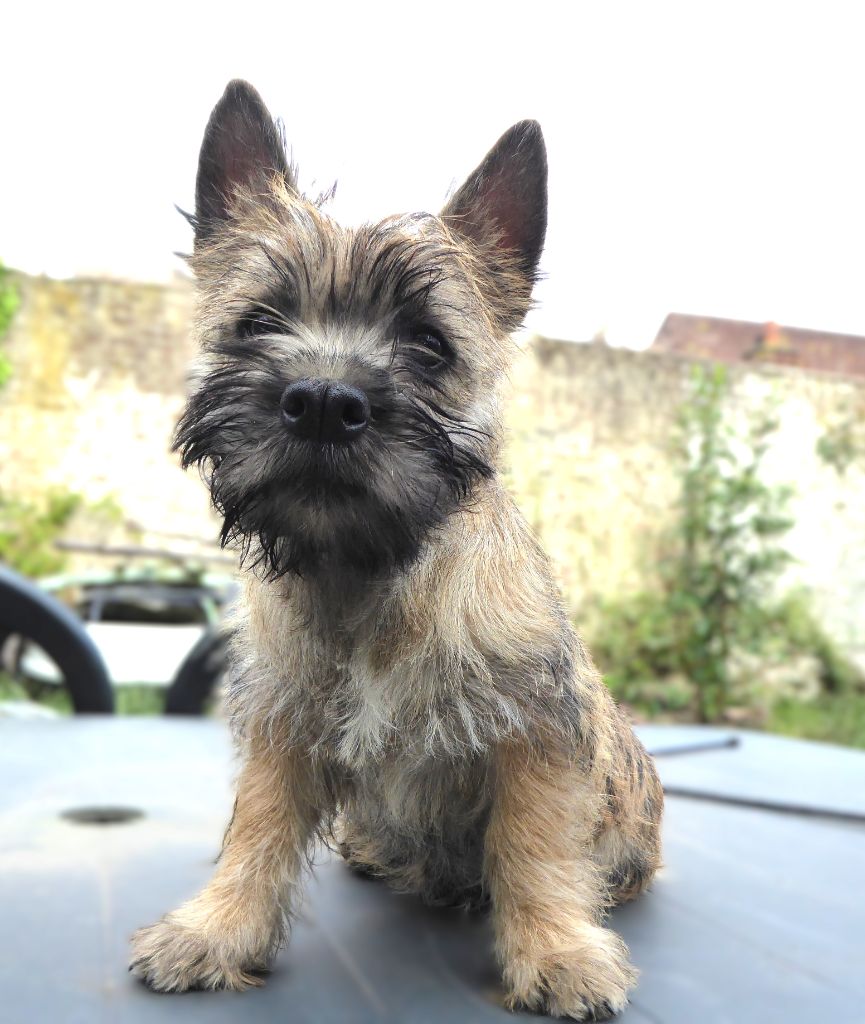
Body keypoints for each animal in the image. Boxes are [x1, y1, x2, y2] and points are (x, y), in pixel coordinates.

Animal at [130, 77, 663, 1015]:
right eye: (258, 322)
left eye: (427, 343)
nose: (321, 400)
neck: (366, 580)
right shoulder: (282, 732)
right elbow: (256, 830)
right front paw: (217, 929)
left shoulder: (535, 736)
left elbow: (533, 850)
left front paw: (556, 952)